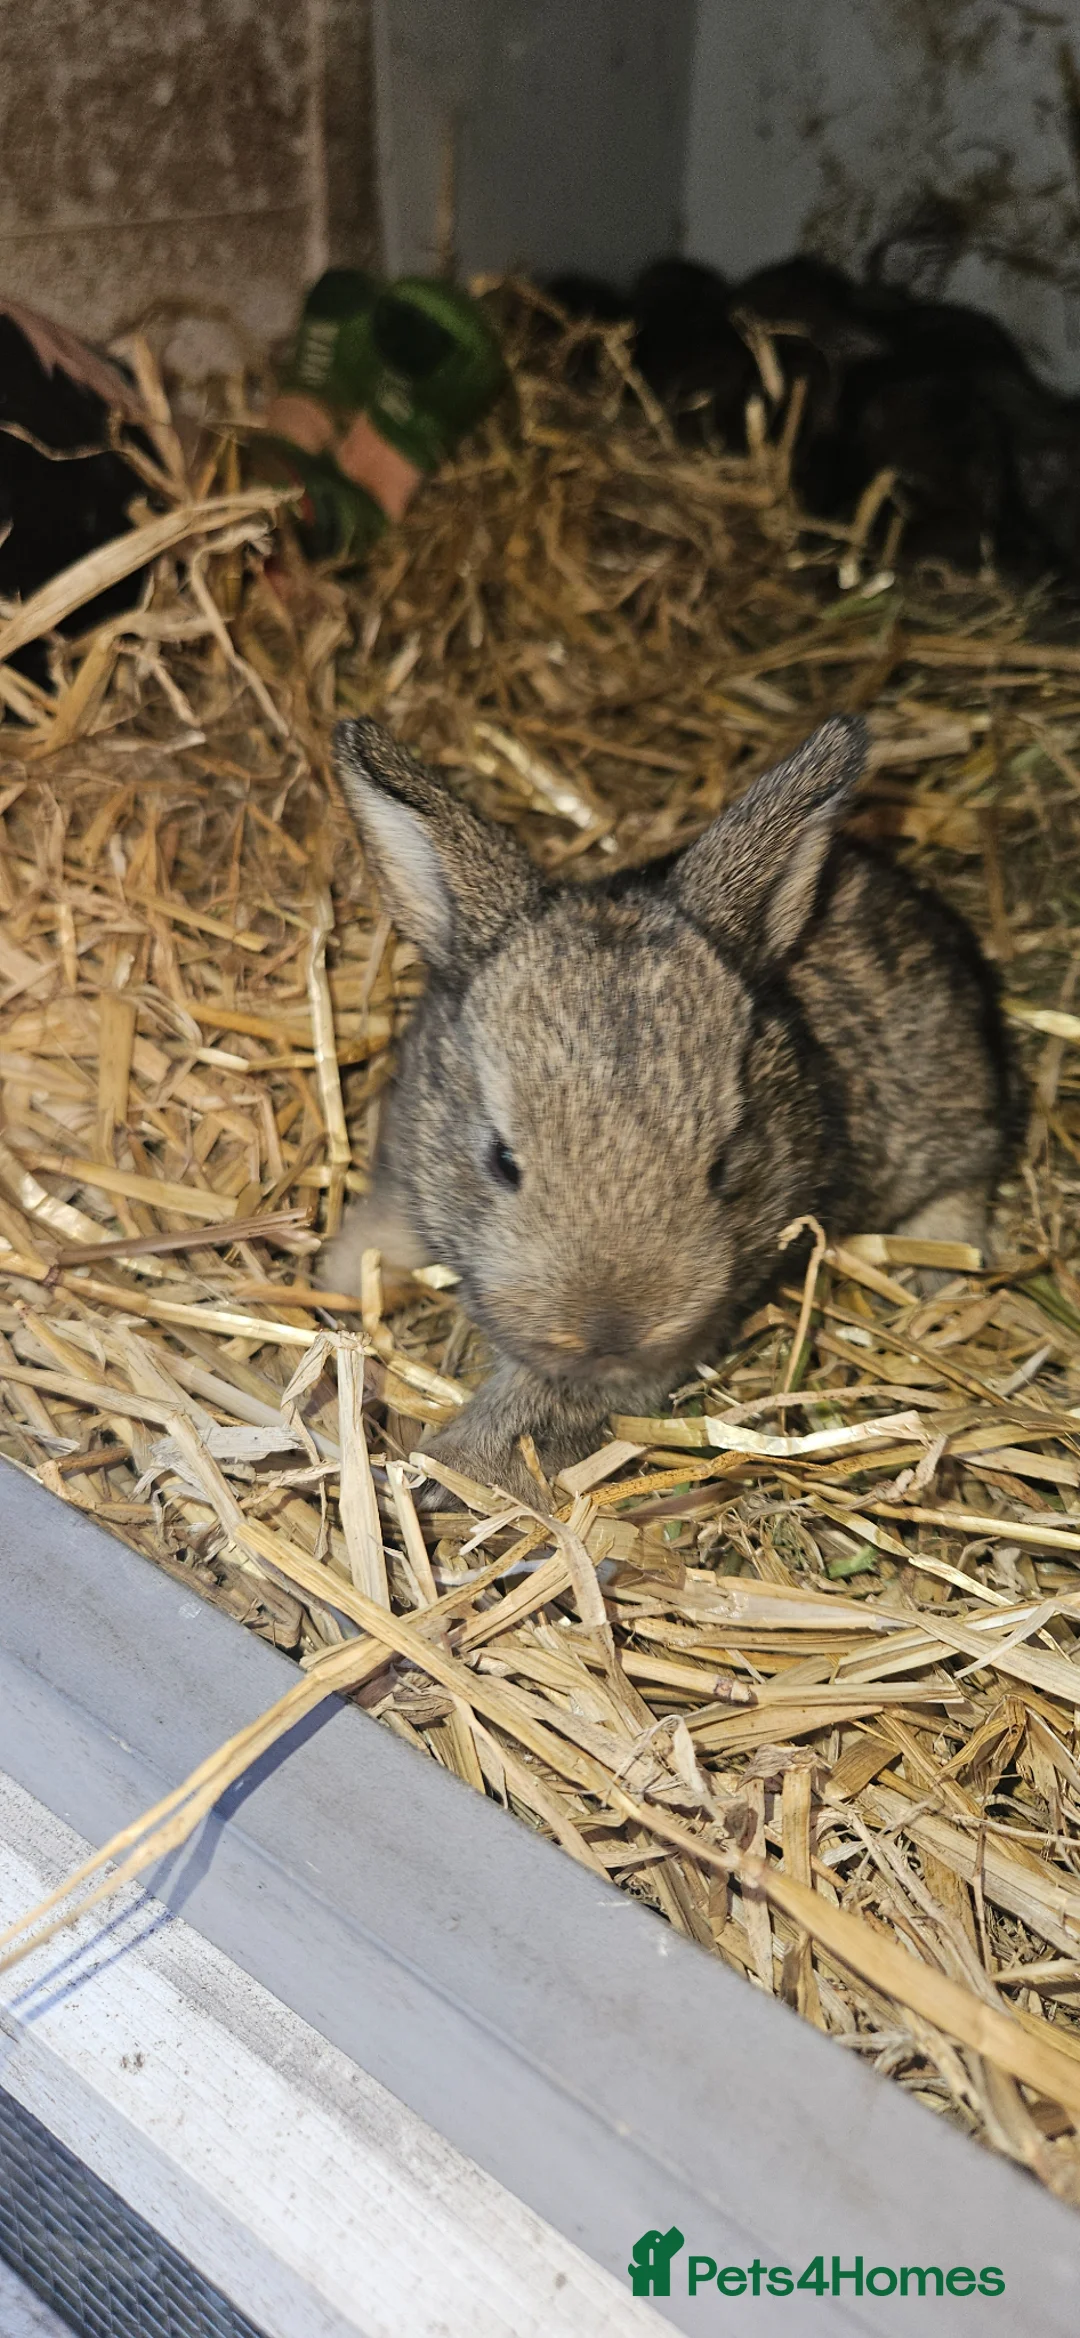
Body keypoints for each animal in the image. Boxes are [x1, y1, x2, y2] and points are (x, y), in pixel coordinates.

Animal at [322, 714, 1023, 1502]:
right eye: (500, 1160)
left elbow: (542, 1405)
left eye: (726, 1165)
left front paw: (446, 1471)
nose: (613, 1332)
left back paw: (940, 1278)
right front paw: (337, 1295)